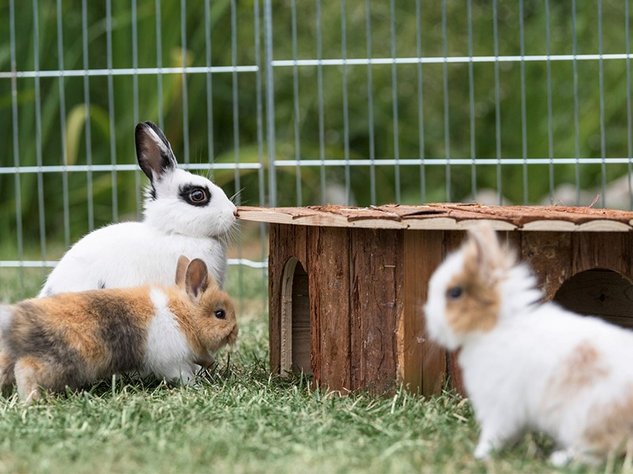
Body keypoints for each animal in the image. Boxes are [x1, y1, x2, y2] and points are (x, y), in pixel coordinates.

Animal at [0, 256, 237, 404]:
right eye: (220, 314)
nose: (235, 332)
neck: (181, 314)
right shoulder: (171, 362)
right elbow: (183, 375)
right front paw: (196, 386)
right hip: (56, 361)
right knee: (26, 371)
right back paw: (34, 401)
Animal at [424, 224, 633, 464]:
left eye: (455, 292)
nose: (430, 321)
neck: (500, 325)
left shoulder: (500, 405)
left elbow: (493, 434)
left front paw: (479, 457)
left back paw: (560, 459)